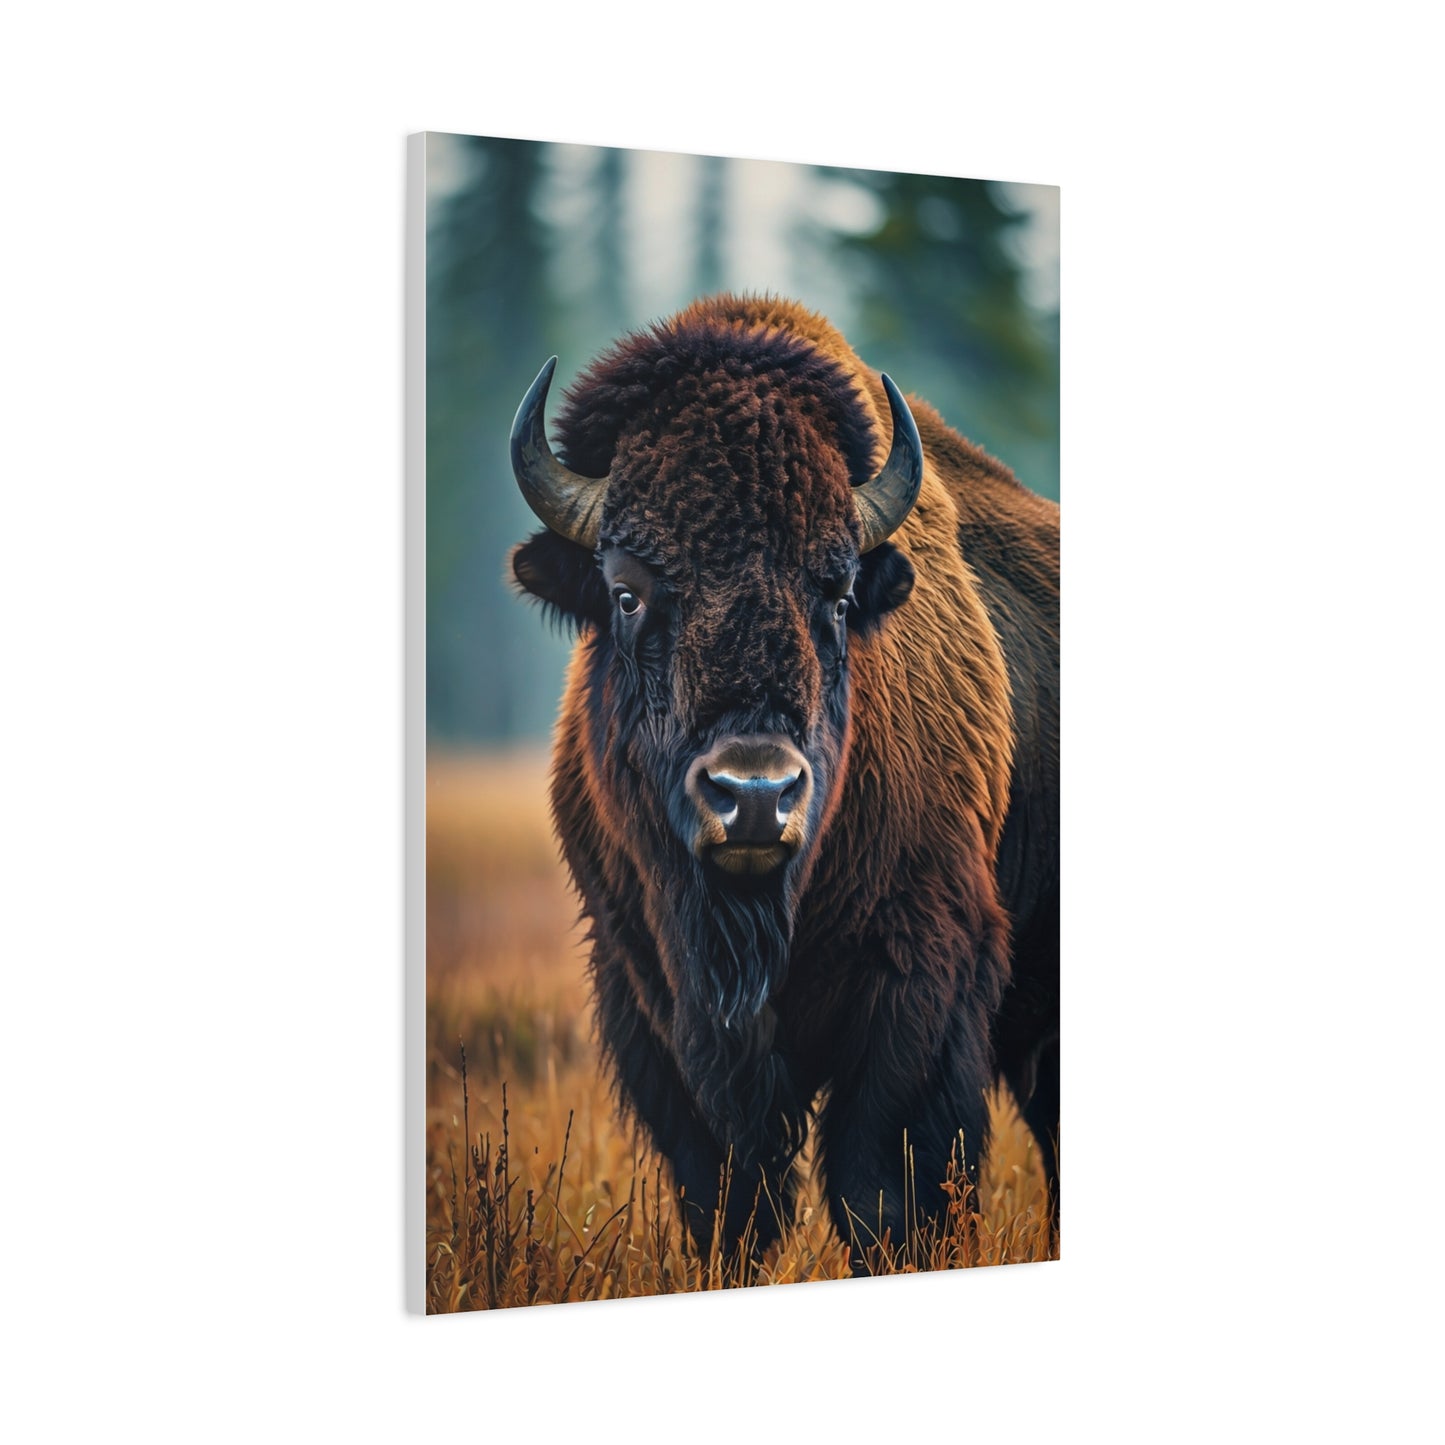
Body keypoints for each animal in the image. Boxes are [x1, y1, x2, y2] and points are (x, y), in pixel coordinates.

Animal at [508, 295, 1058, 1260]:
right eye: (626, 591)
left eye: (834, 594)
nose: (756, 796)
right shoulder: (647, 996)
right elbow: (726, 1200)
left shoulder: (920, 984)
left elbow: (884, 1195)